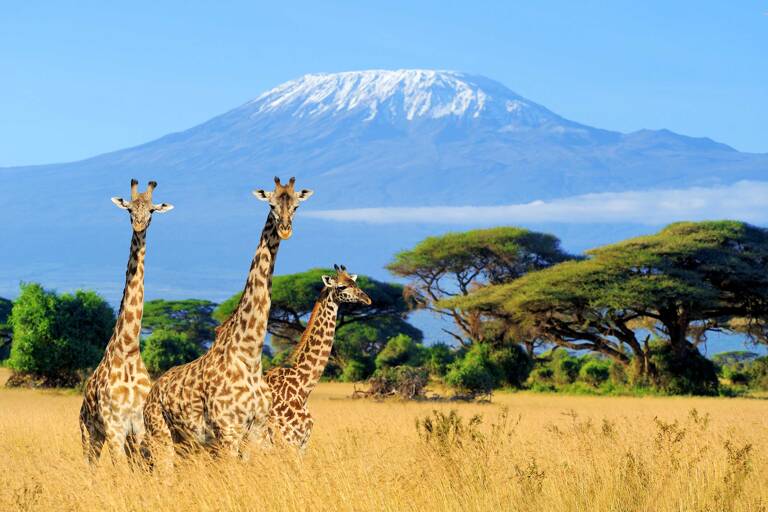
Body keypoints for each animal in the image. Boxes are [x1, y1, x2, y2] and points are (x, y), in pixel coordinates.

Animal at [79, 179, 174, 465]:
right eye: (130, 209)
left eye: (152, 210)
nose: (139, 226)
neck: (129, 348)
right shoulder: (114, 428)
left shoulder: (138, 427)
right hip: (89, 433)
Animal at [141, 176, 312, 466]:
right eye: (271, 204)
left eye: (297, 206)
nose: (285, 230)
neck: (250, 355)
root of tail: (151, 393)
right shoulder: (228, 430)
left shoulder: (256, 429)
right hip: (160, 435)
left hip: (186, 443)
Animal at [264, 265, 371, 451]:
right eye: (341, 286)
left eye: (355, 283)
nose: (367, 300)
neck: (302, 387)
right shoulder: (289, 440)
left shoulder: (302, 442)